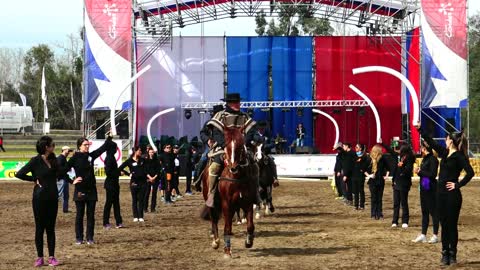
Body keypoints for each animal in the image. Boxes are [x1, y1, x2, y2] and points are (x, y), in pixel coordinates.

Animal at [201, 126, 258, 258]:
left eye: (241, 145)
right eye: (225, 145)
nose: (234, 167)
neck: (236, 177)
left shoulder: (247, 202)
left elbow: (250, 225)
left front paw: (249, 241)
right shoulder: (226, 203)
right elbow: (226, 227)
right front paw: (227, 250)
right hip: (210, 201)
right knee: (214, 220)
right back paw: (216, 241)